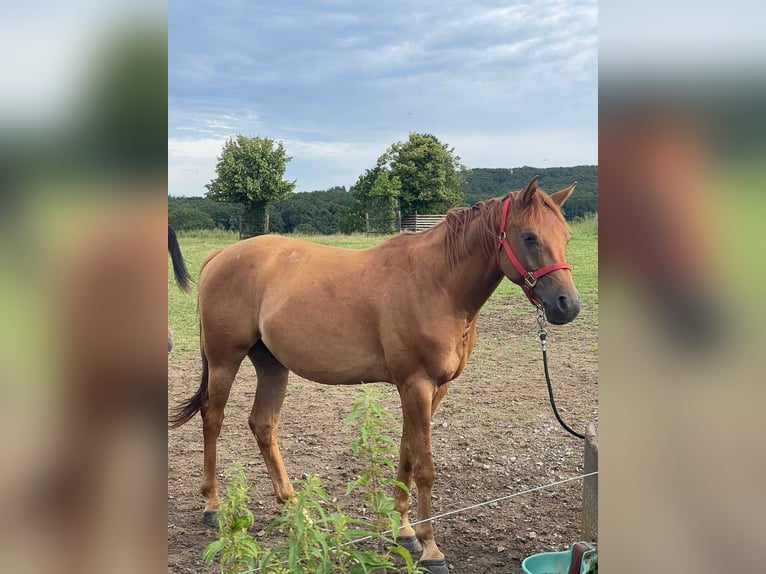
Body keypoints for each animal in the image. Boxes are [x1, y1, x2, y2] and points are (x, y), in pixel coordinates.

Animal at [169, 176, 580, 573]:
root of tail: (221, 255)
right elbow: (425, 466)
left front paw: (405, 531)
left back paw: (295, 507)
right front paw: (431, 550)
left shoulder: (433, 389)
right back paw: (213, 505)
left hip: (272, 365)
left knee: (263, 426)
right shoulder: (416, 384)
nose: (567, 305)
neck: (436, 282)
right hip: (225, 361)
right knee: (213, 419)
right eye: (529, 237)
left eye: (565, 237)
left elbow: (408, 455)